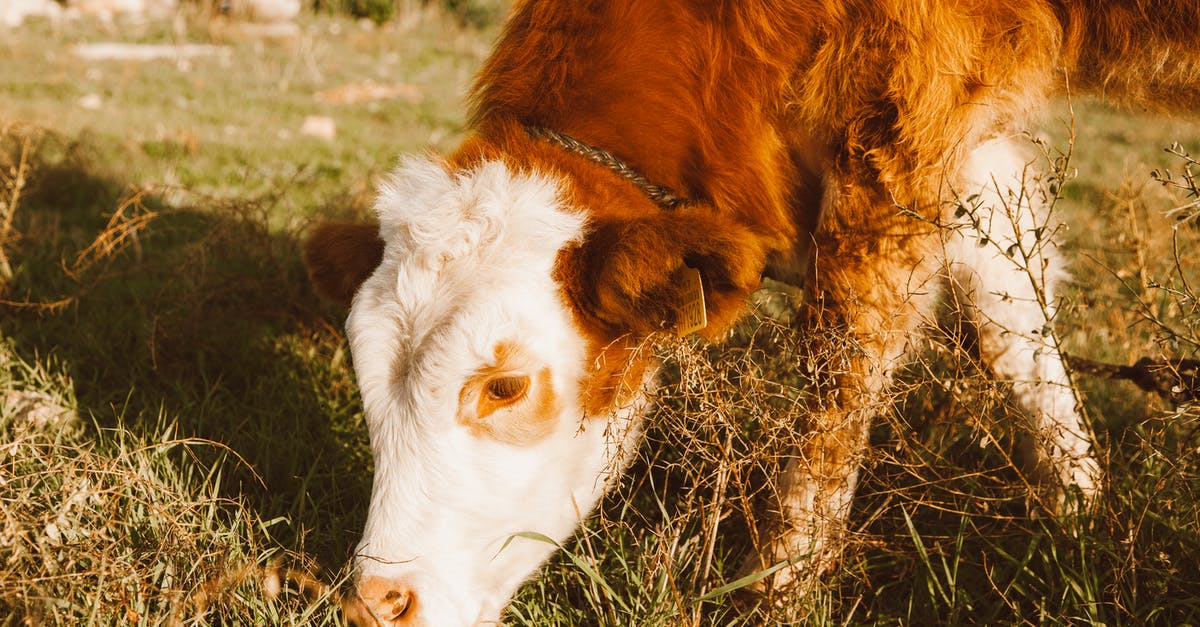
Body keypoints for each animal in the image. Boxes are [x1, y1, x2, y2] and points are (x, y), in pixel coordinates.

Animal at [302, 1, 1200, 624]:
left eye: (505, 386)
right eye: (363, 373)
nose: (377, 602)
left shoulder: (902, 118)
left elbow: (842, 370)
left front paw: (779, 595)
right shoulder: (965, 135)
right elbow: (1013, 319)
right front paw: (1083, 516)